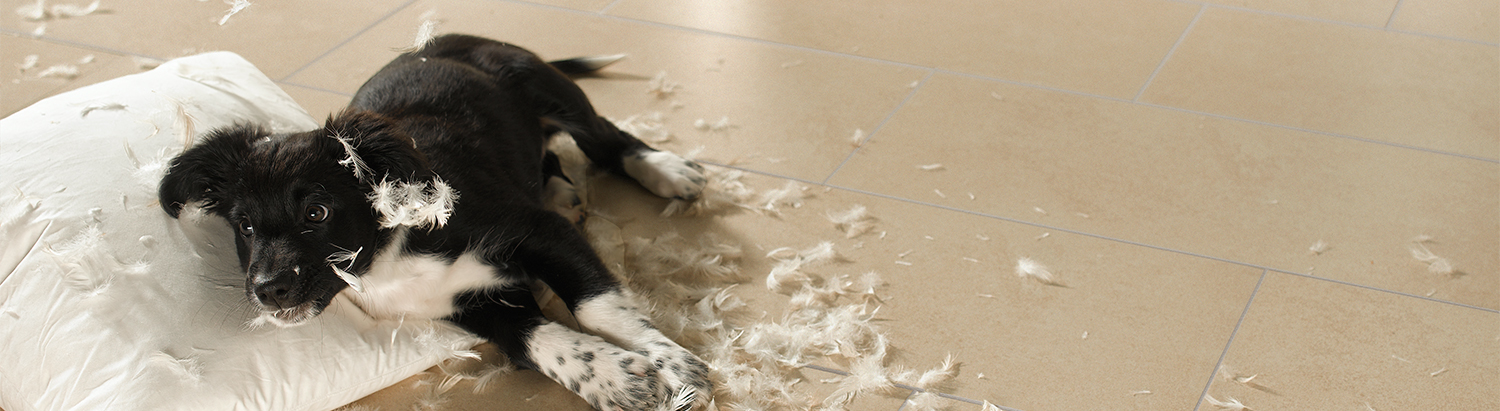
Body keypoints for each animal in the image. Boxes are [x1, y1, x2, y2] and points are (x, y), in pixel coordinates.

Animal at [161, 34, 711, 411]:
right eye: (245, 227)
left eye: (316, 212)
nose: (268, 290)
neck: (392, 257)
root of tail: (446, 40)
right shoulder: (472, 305)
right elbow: (530, 339)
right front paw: (612, 377)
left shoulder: (539, 231)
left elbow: (599, 307)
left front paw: (673, 366)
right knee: (551, 157)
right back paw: (562, 188)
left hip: (550, 90)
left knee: (605, 139)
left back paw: (667, 170)